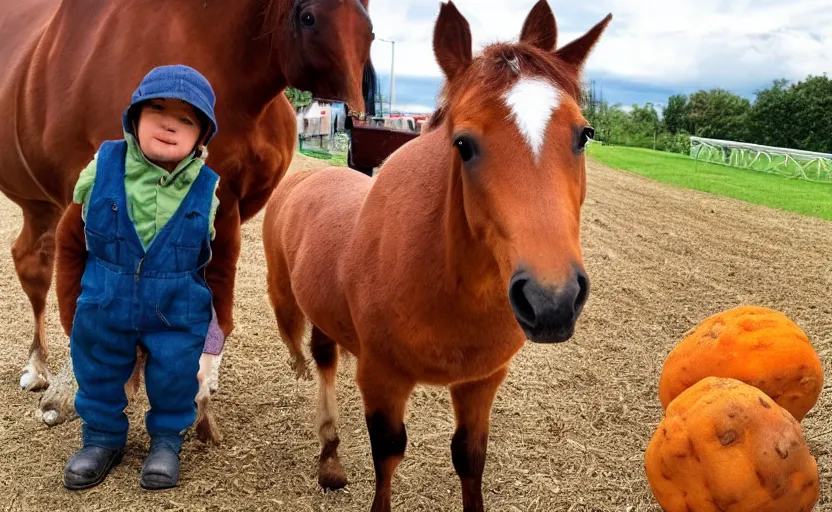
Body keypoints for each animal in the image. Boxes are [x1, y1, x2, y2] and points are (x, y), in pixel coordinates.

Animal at [0, 1, 374, 436]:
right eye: (308, 18)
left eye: (369, 32)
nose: (354, 118)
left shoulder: (224, 209)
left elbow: (212, 302)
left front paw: (198, 382)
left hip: (37, 204)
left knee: (31, 261)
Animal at [264, 2, 612, 510]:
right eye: (462, 143)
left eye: (584, 134)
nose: (552, 300)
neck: (447, 280)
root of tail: (308, 178)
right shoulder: (381, 378)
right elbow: (388, 454)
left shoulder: (480, 383)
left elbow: (470, 457)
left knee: (325, 353)